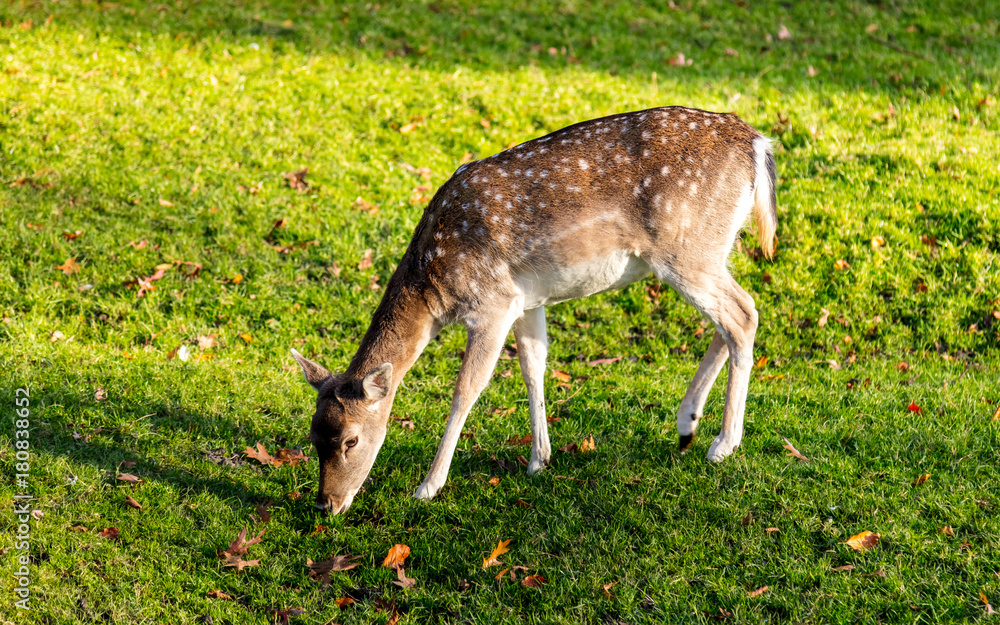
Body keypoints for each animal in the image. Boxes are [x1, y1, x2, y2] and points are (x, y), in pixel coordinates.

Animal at [291, 106, 777, 514]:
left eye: (351, 440)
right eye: (313, 436)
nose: (325, 504)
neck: (434, 284)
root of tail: (757, 143)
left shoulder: (492, 302)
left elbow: (466, 389)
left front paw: (428, 486)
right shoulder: (527, 301)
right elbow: (533, 366)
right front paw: (539, 458)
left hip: (685, 248)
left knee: (744, 313)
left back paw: (724, 443)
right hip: (710, 250)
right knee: (731, 319)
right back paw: (687, 423)